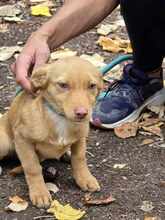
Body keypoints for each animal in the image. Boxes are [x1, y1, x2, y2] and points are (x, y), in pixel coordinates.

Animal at [0, 56, 102, 208]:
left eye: (92, 86)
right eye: (63, 85)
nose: (82, 113)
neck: (61, 119)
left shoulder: (80, 138)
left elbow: (79, 159)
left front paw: (85, 179)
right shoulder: (22, 139)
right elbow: (32, 167)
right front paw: (39, 192)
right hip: (4, 142)